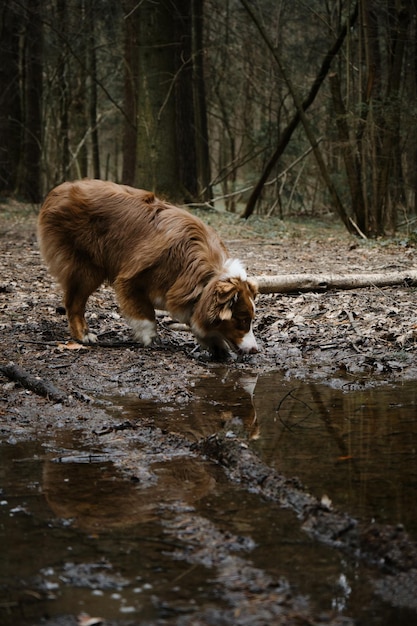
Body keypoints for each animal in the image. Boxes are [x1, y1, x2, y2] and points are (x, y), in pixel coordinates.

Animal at [36, 180, 256, 356]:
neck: (202, 276)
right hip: (86, 268)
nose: (255, 350)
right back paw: (83, 335)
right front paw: (151, 338)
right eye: (242, 321)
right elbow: (146, 314)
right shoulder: (130, 280)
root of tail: (58, 191)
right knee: (74, 303)